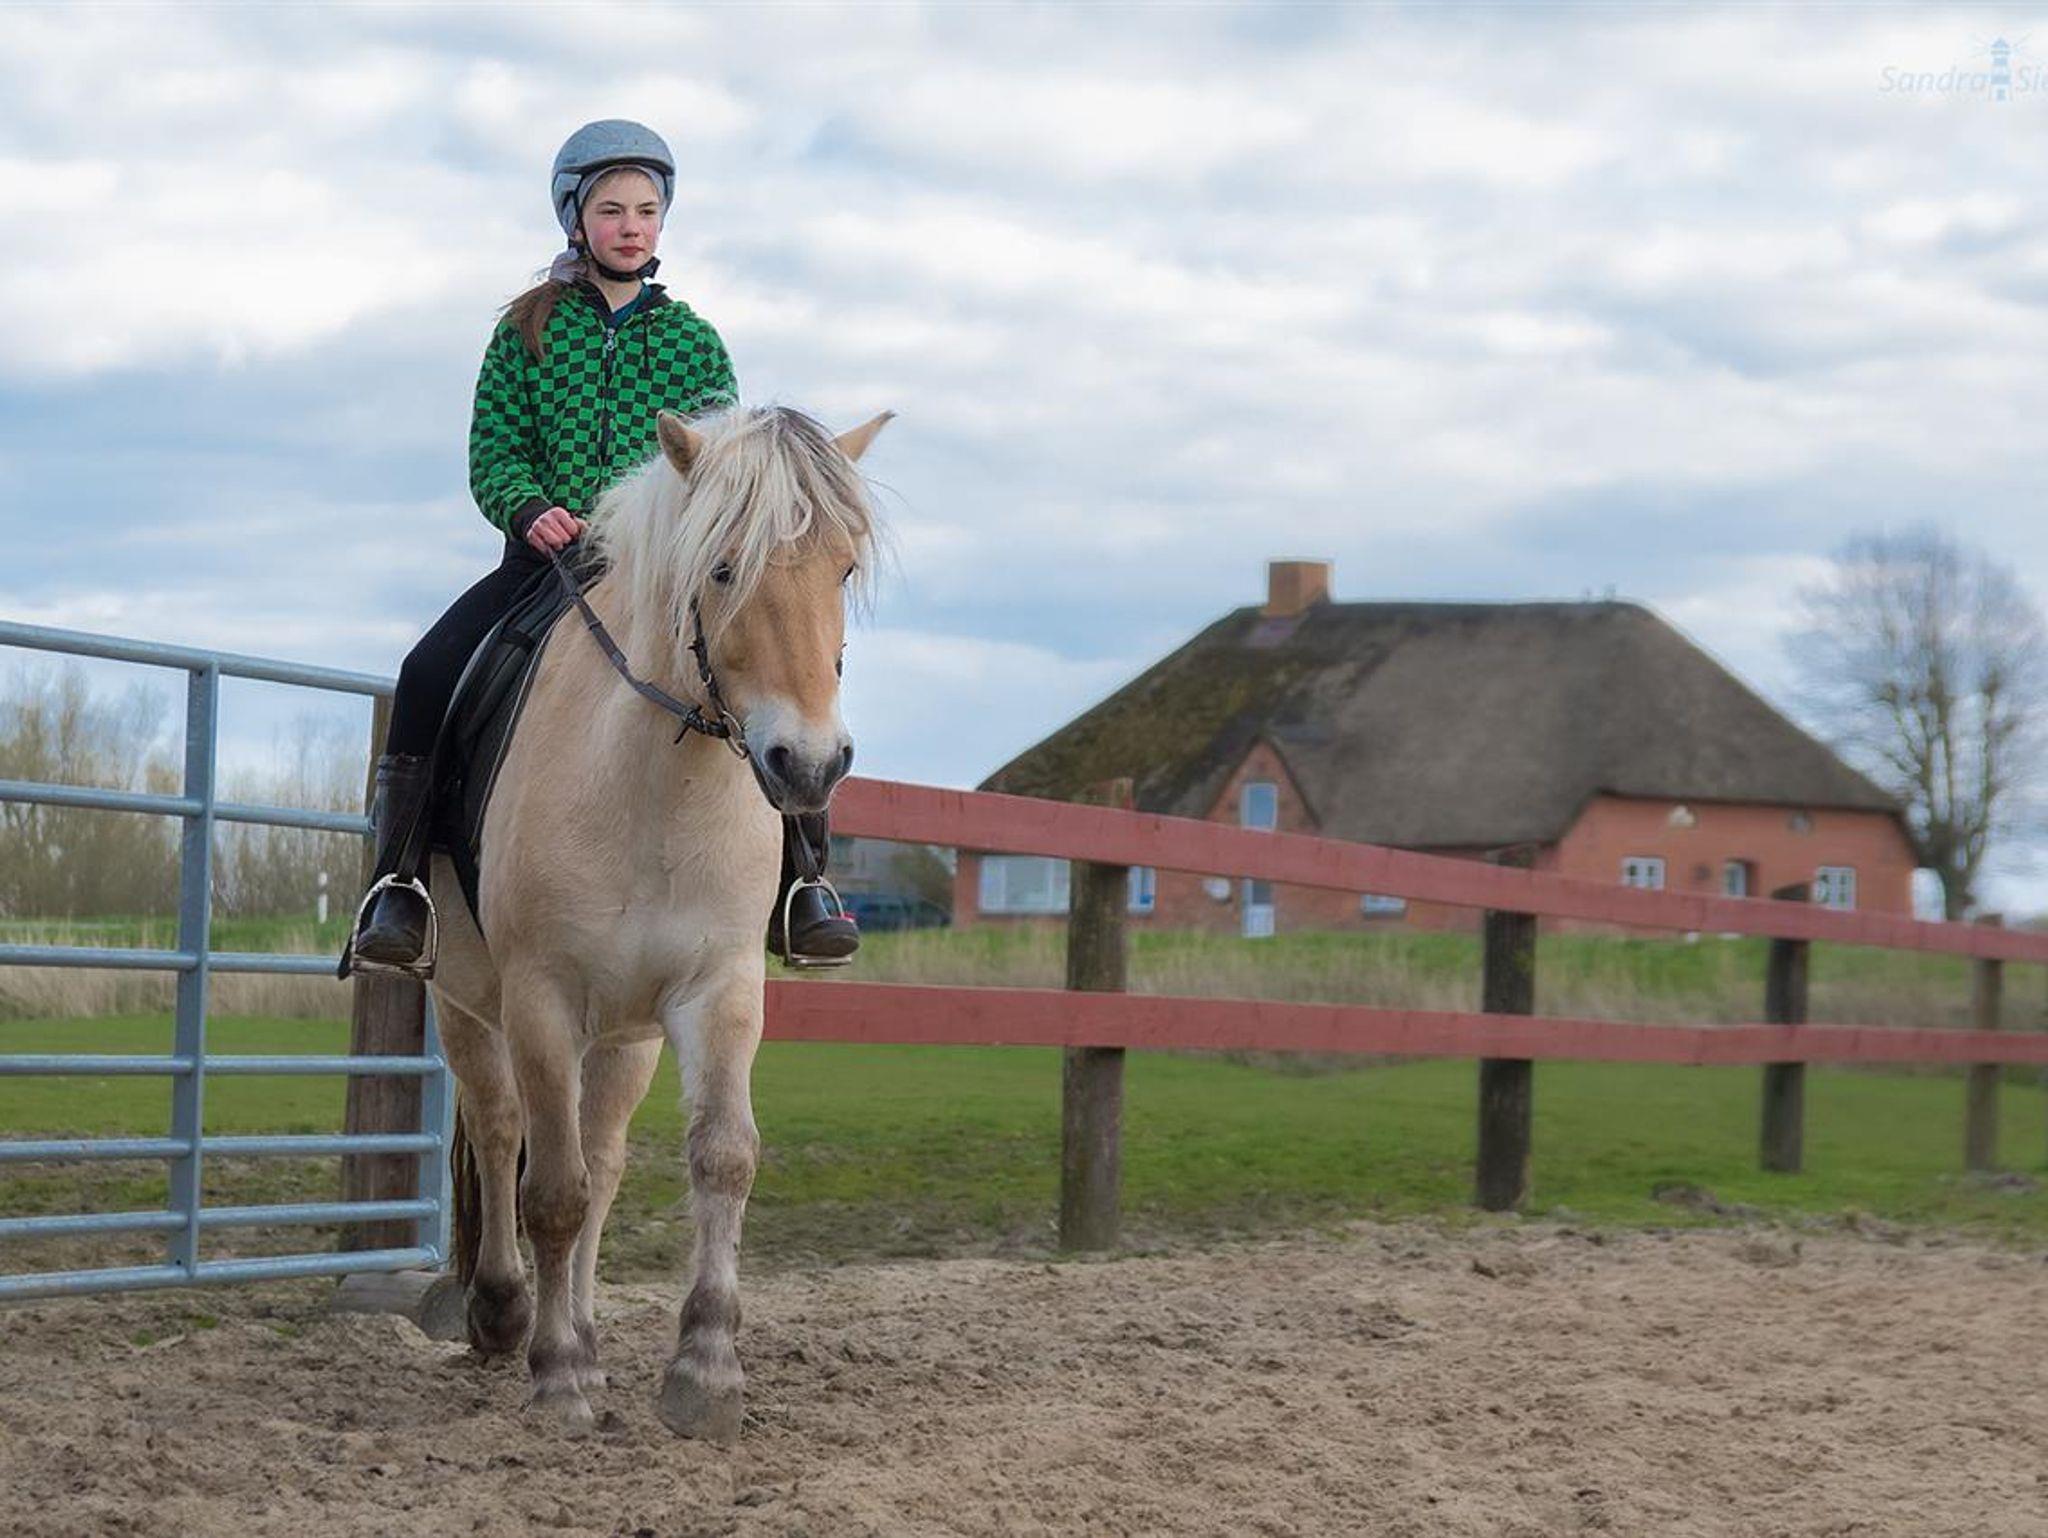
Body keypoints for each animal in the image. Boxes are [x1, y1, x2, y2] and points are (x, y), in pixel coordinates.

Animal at [428, 403, 889, 1441]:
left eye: (843, 569)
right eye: (720, 568)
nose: (808, 763)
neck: (654, 788)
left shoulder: (717, 992)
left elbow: (720, 1159)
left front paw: (704, 1373)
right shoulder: (541, 1001)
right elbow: (548, 1192)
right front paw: (557, 1378)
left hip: (625, 1035)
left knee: (598, 1160)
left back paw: (588, 1335)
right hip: (469, 1007)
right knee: (501, 1129)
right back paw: (510, 1315)